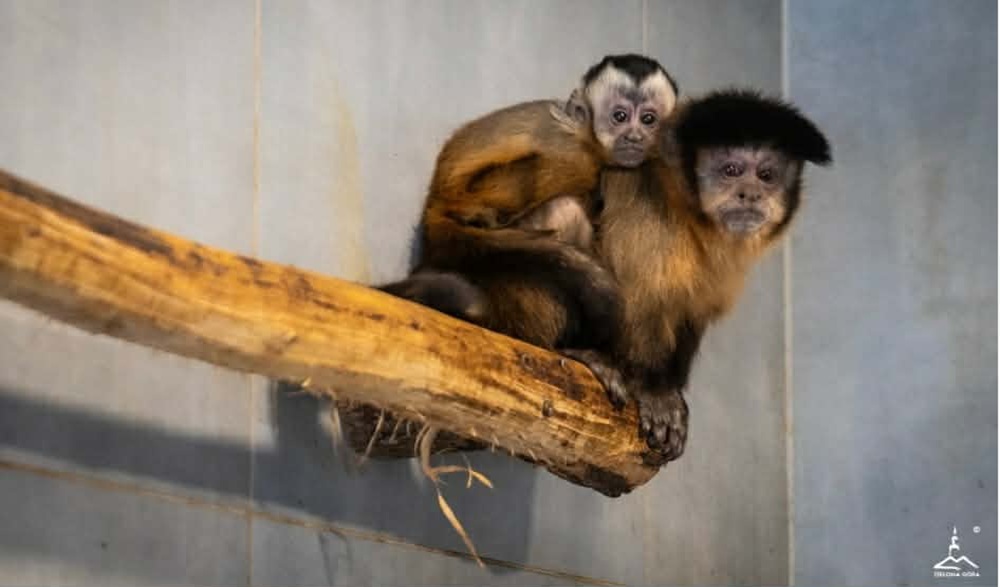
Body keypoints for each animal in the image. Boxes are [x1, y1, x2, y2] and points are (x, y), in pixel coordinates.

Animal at [382, 54, 679, 357]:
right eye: (620, 117)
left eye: (648, 119)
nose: (635, 137)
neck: (587, 135)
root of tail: (435, 209)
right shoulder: (568, 145)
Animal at [585, 89, 832, 462]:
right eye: (731, 170)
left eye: (767, 175)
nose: (751, 193)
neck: (682, 208)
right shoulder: (645, 209)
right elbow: (641, 300)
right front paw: (653, 389)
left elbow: (691, 311)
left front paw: (671, 389)